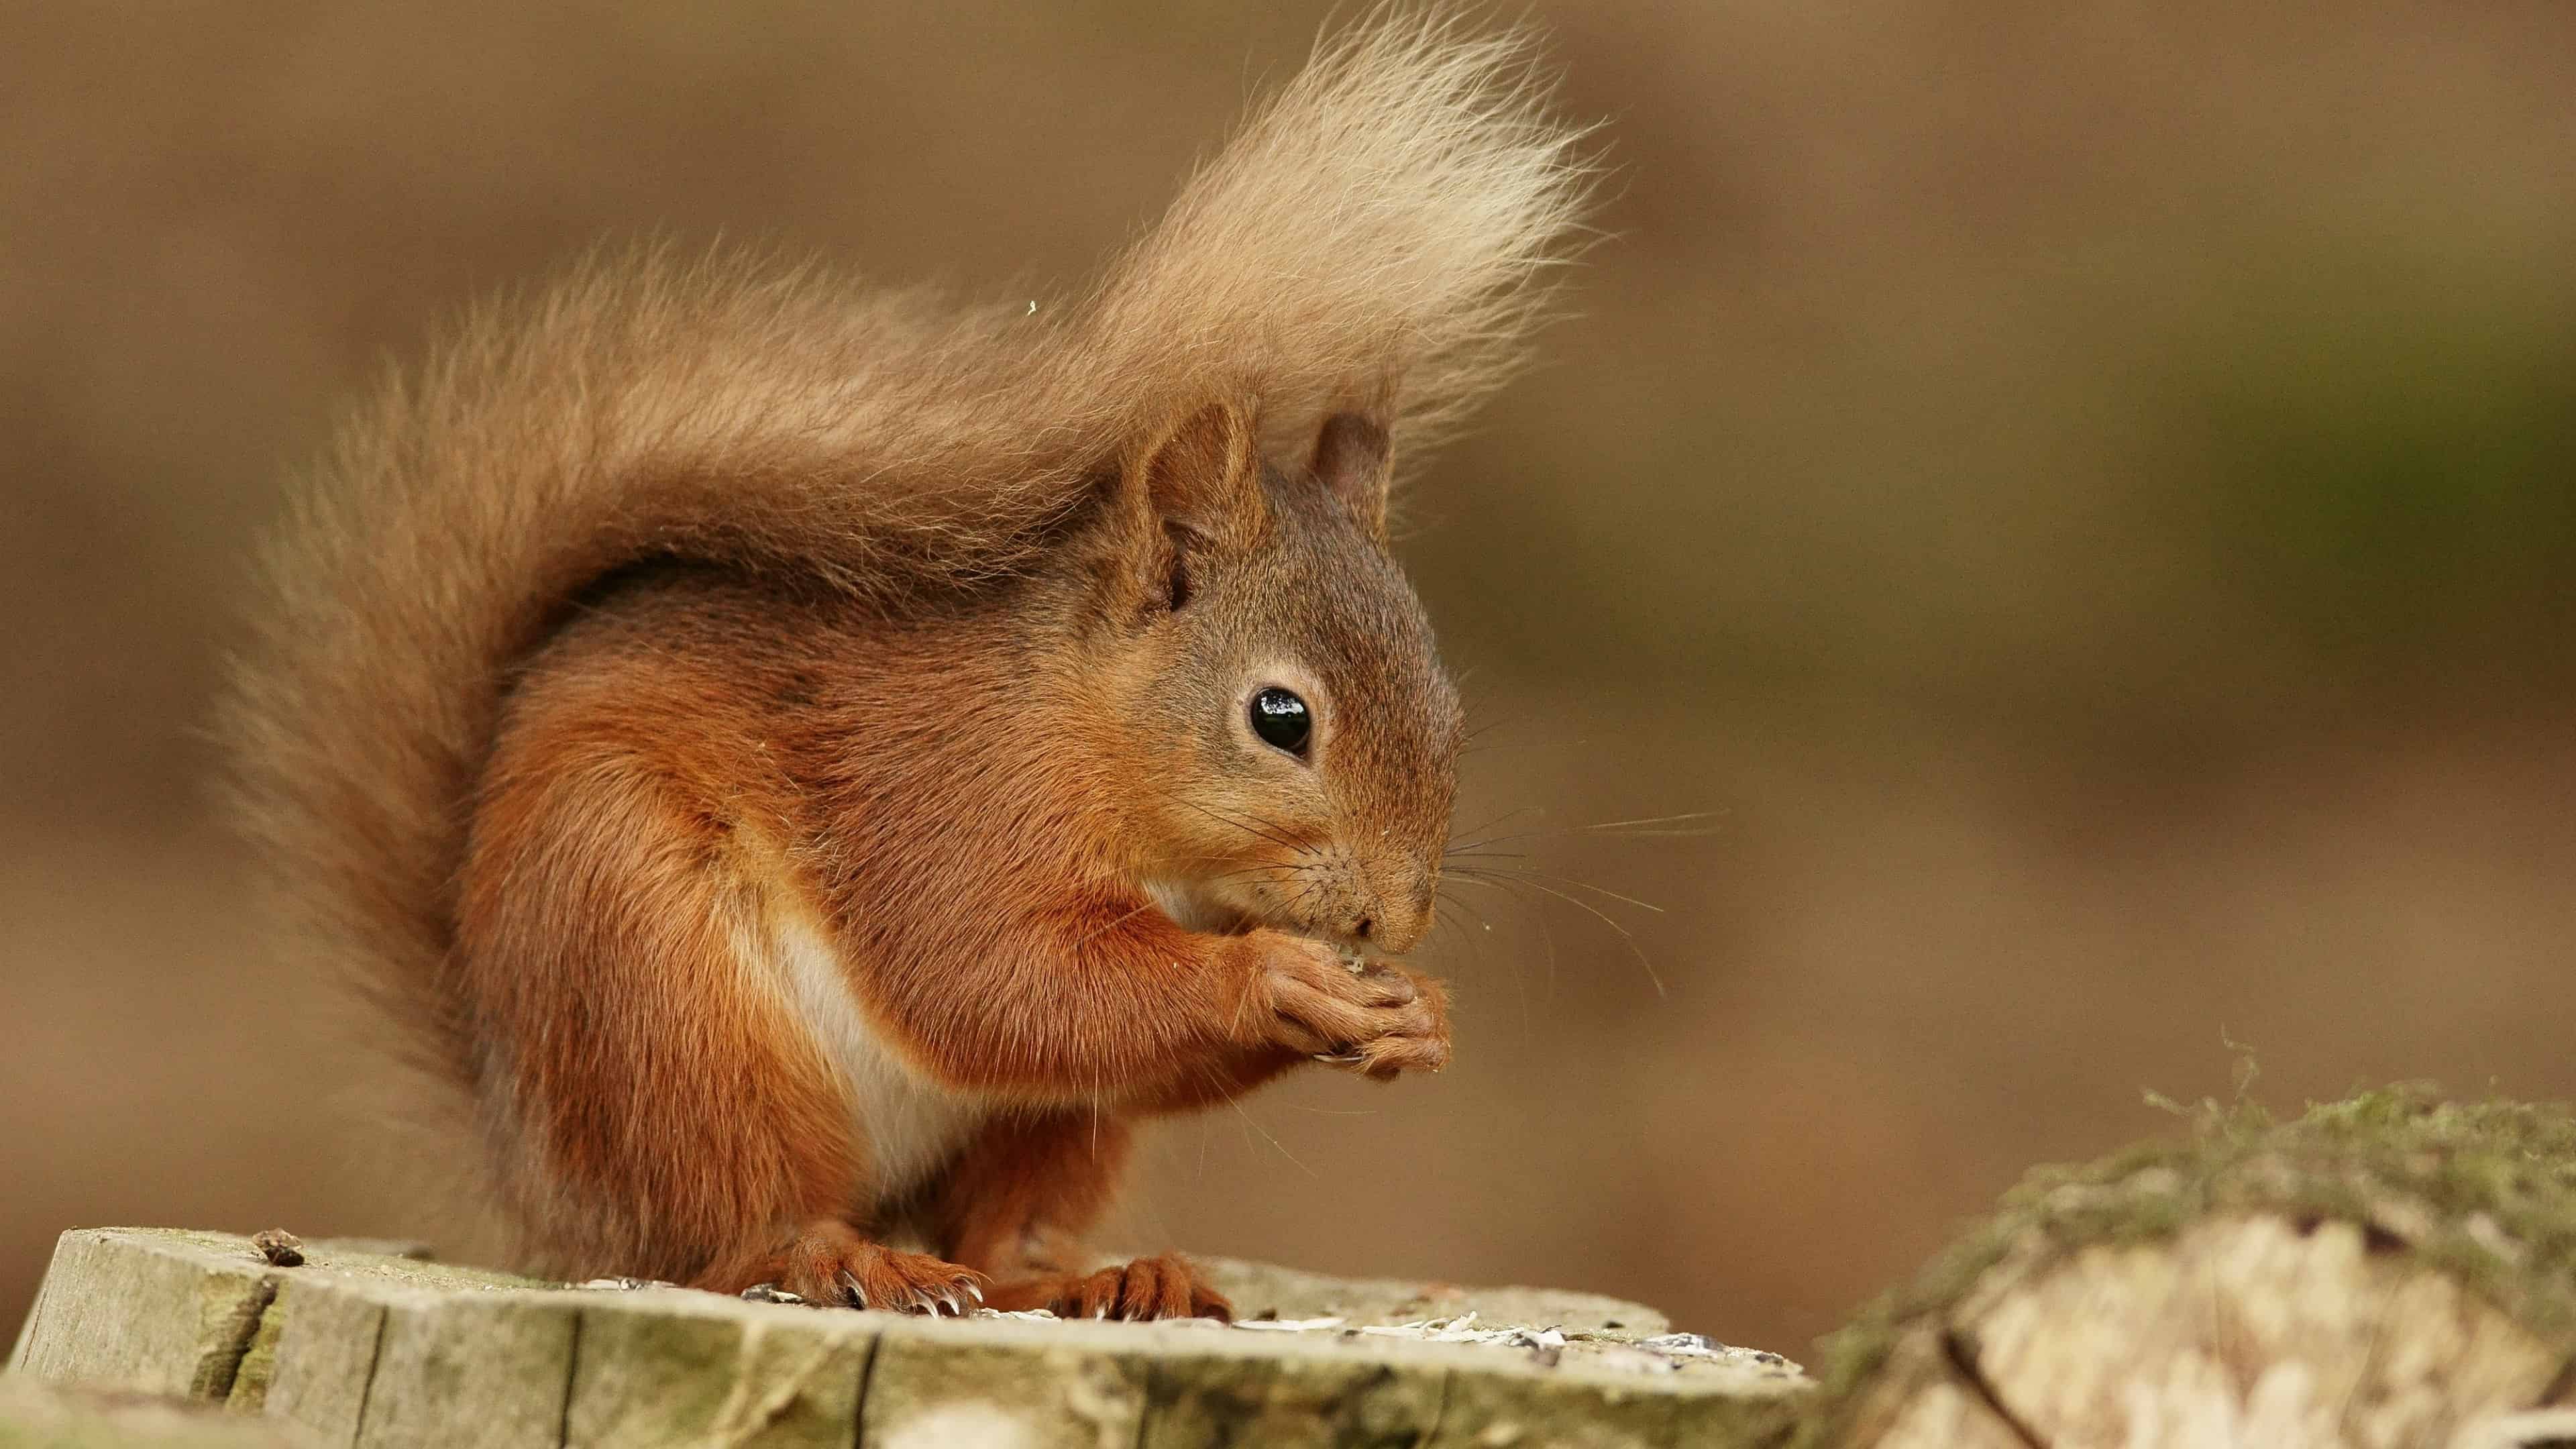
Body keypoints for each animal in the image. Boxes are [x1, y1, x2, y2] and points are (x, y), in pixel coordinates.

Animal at [220, 16, 1591, 1320]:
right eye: (1280, 717)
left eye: (1447, 704)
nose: (1391, 921)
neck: (1086, 733)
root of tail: (546, 1184)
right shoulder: (941, 804)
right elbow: (990, 979)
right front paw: (1277, 977)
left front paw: (1417, 1014)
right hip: (658, 986)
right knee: (725, 1230)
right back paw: (833, 1258)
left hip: (1045, 1130)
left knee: (1000, 1230)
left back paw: (1095, 1280)